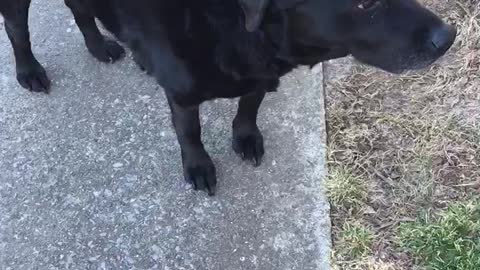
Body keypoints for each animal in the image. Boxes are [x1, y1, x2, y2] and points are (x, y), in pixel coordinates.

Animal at [1, 0, 456, 194]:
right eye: (366, 3)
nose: (449, 36)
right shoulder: (183, 93)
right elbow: (190, 133)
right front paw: (199, 167)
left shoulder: (260, 73)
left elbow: (249, 105)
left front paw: (246, 137)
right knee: (18, 30)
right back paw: (29, 71)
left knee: (80, 10)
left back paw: (100, 47)